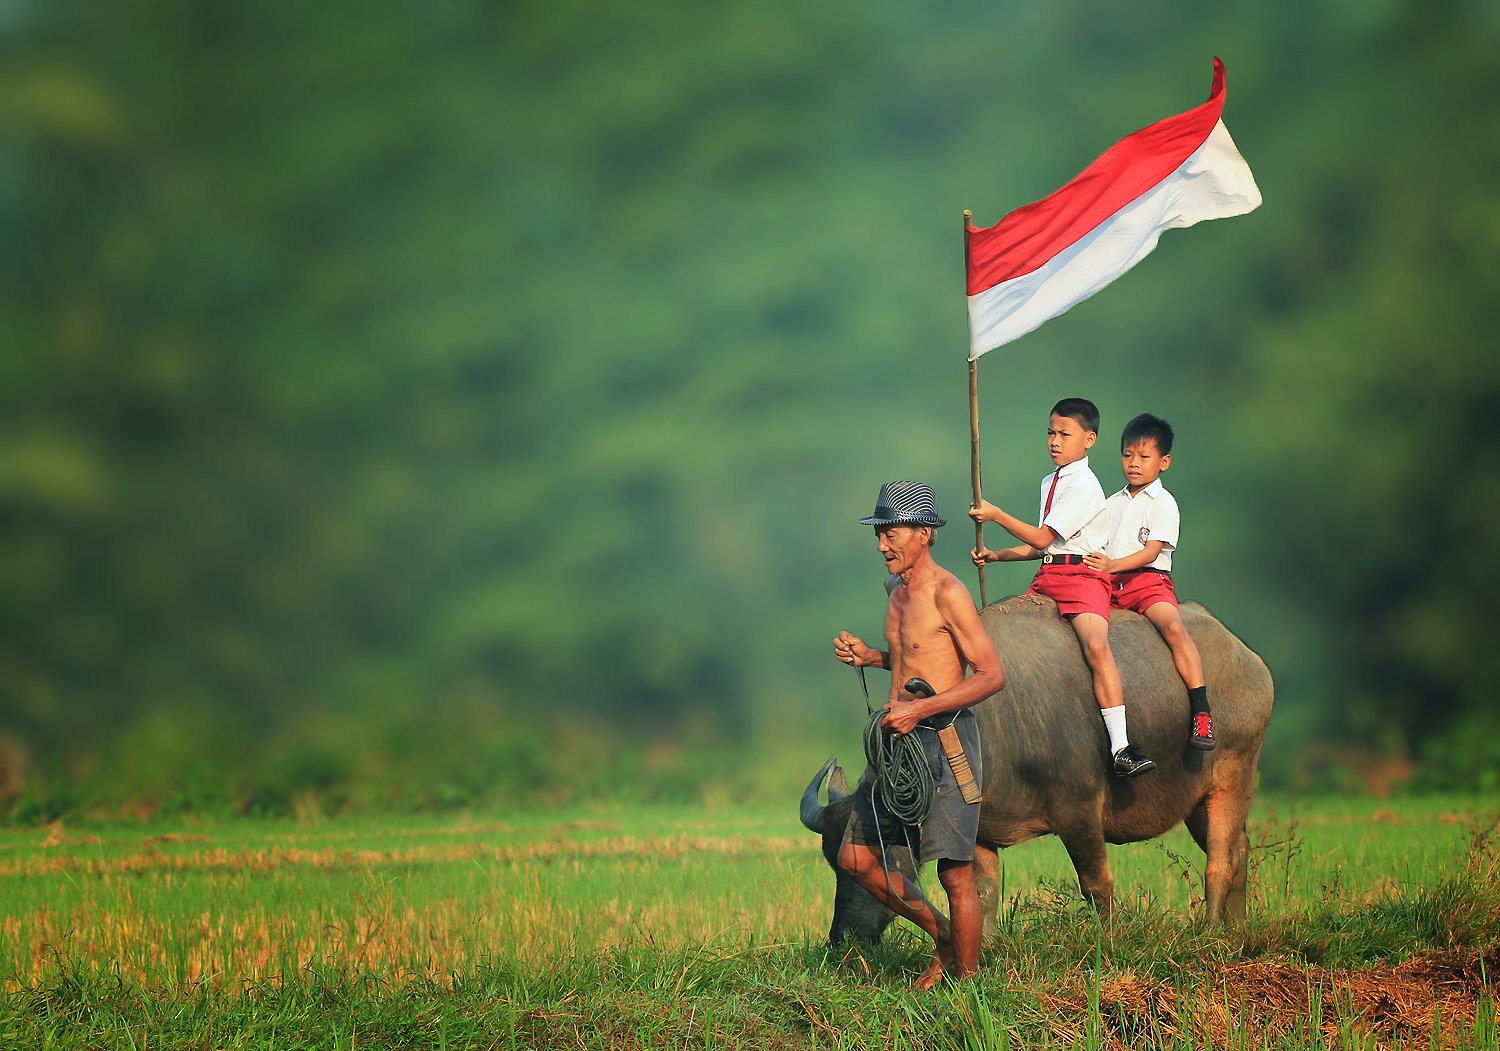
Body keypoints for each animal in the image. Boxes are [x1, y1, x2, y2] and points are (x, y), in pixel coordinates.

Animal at [804, 593, 1272, 947]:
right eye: (831, 863)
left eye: (876, 857)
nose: (843, 939)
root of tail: (1250, 661)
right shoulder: (981, 826)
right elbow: (983, 890)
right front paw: (988, 945)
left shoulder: (1080, 812)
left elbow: (1096, 882)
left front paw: (1107, 939)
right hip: (1197, 802)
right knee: (1240, 848)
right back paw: (1237, 928)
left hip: (1233, 776)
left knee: (1219, 860)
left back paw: (1209, 929)